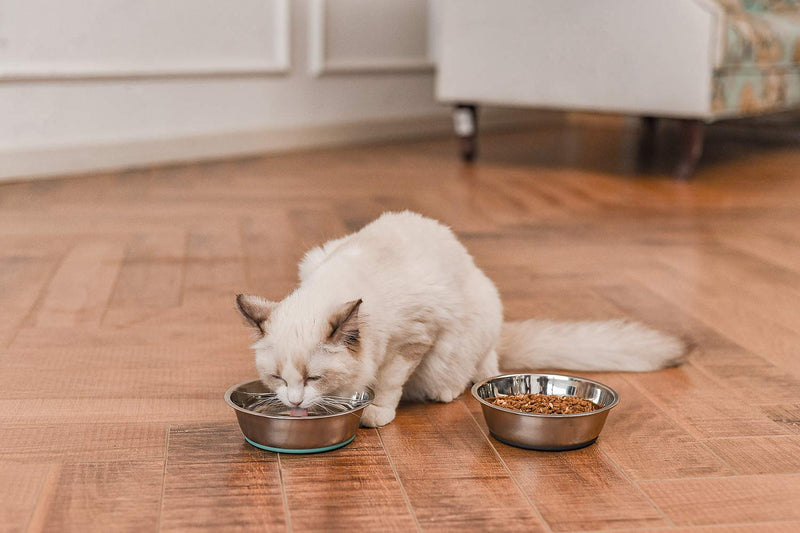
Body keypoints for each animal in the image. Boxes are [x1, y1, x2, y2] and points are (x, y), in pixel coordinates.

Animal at [234, 210, 684, 426]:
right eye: (277, 379)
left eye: (313, 378)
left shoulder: (413, 338)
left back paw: (450, 390)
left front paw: (375, 412)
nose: (294, 401)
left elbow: (387, 382)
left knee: (481, 371)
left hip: (467, 337)